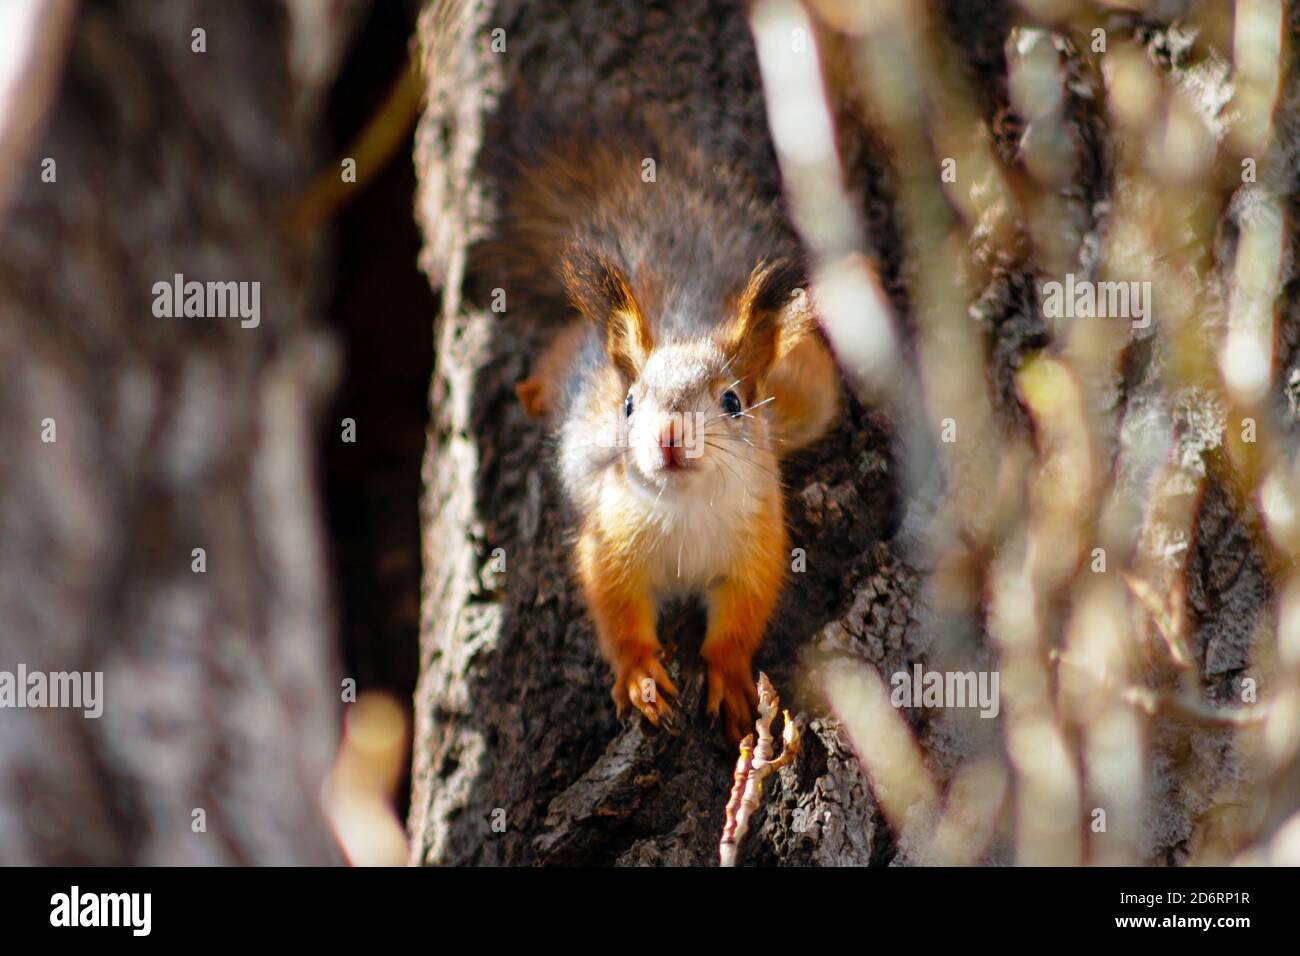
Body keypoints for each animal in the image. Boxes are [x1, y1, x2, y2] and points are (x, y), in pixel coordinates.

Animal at [488, 113, 842, 738]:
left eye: (733, 402)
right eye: (629, 404)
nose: (670, 436)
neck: (685, 509)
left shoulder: (758, 546)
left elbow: (739, 619)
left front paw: (729, 678)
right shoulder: (607, 541)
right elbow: (617, 614)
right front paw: (640, 678)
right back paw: (529, 392)